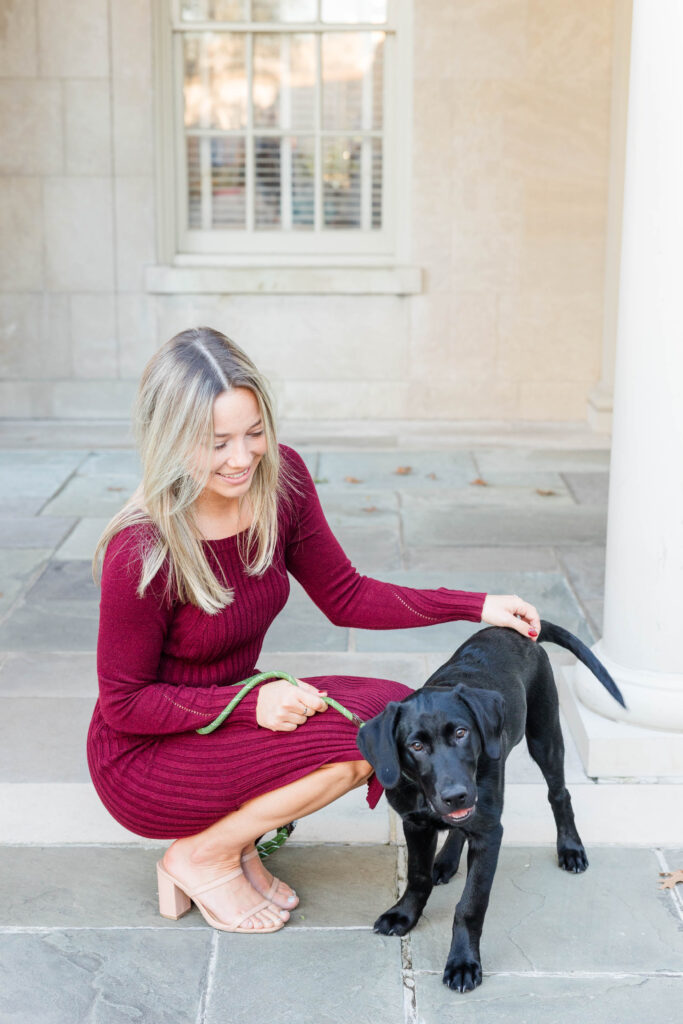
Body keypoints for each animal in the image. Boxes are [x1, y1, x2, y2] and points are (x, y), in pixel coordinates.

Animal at [358, 618, 626, 995]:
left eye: (461, 733)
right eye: (415, 746)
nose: (455, 795)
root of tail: (517, 630)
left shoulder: (489, 833)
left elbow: (470, 904)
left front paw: (463, 963)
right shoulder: (417, 823)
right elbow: (417, 875)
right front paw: (405, 914)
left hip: (544, 733)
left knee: (559, 794)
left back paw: (571, 849)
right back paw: (446, 861)